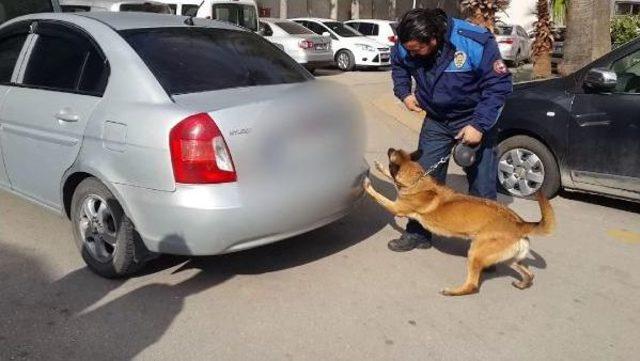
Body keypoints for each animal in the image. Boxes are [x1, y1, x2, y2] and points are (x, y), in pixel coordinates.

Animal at [364, 148, 556, 294]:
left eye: (392, 153)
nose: (390, 148)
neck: (418, 181)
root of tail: (519, 224)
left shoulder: (396, 207)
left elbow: (379, 196)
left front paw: (367, 185)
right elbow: (390, 178)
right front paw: (380, 168)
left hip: (475, 254)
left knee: (472, 286)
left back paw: (452, 291)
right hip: (510, 259)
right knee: (529, 274)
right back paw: (522, 284)